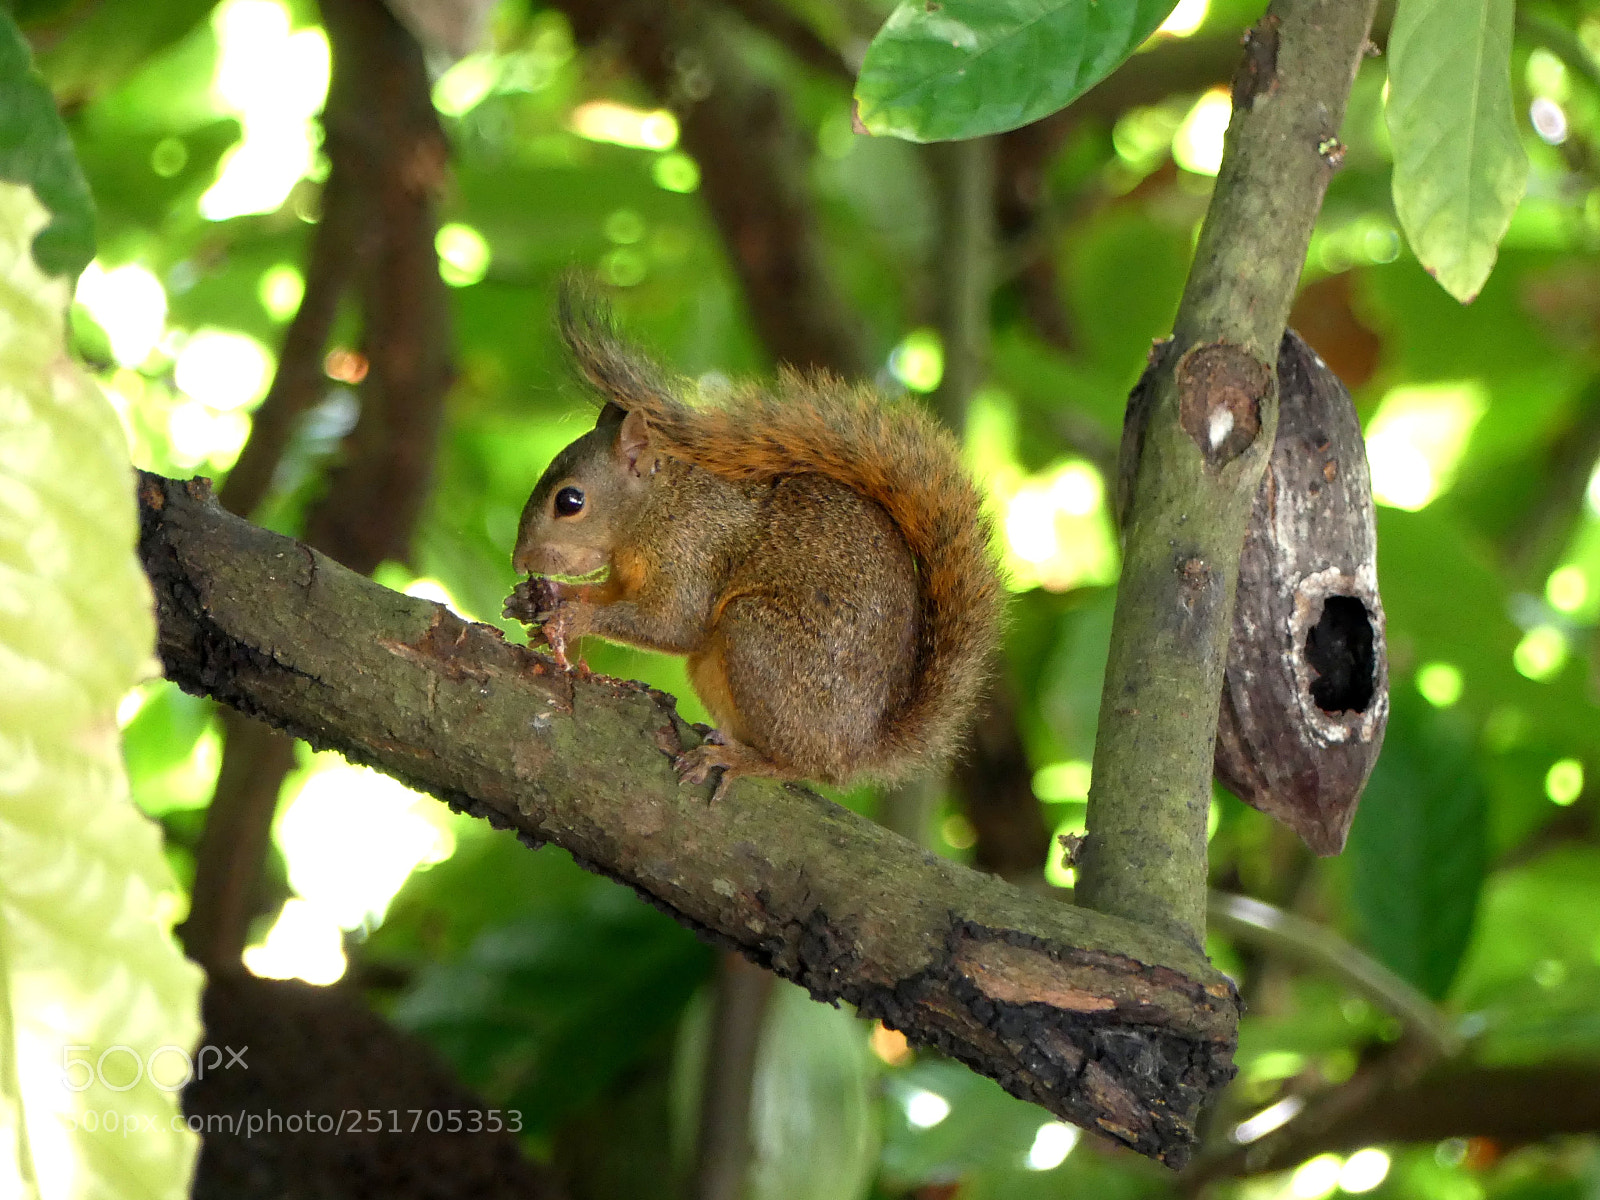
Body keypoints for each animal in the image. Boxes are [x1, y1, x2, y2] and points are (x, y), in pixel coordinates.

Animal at [503, 285, 1003, 799]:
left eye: (570, 501)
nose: (520, 561)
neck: (657, 509)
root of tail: (861, 749)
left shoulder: (693, 551)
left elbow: (672, 625)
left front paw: (573, 618)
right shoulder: (628, 573)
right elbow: (607, 595)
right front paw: (544, 599)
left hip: (760, 642)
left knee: (802, 766)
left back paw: (740, 760)